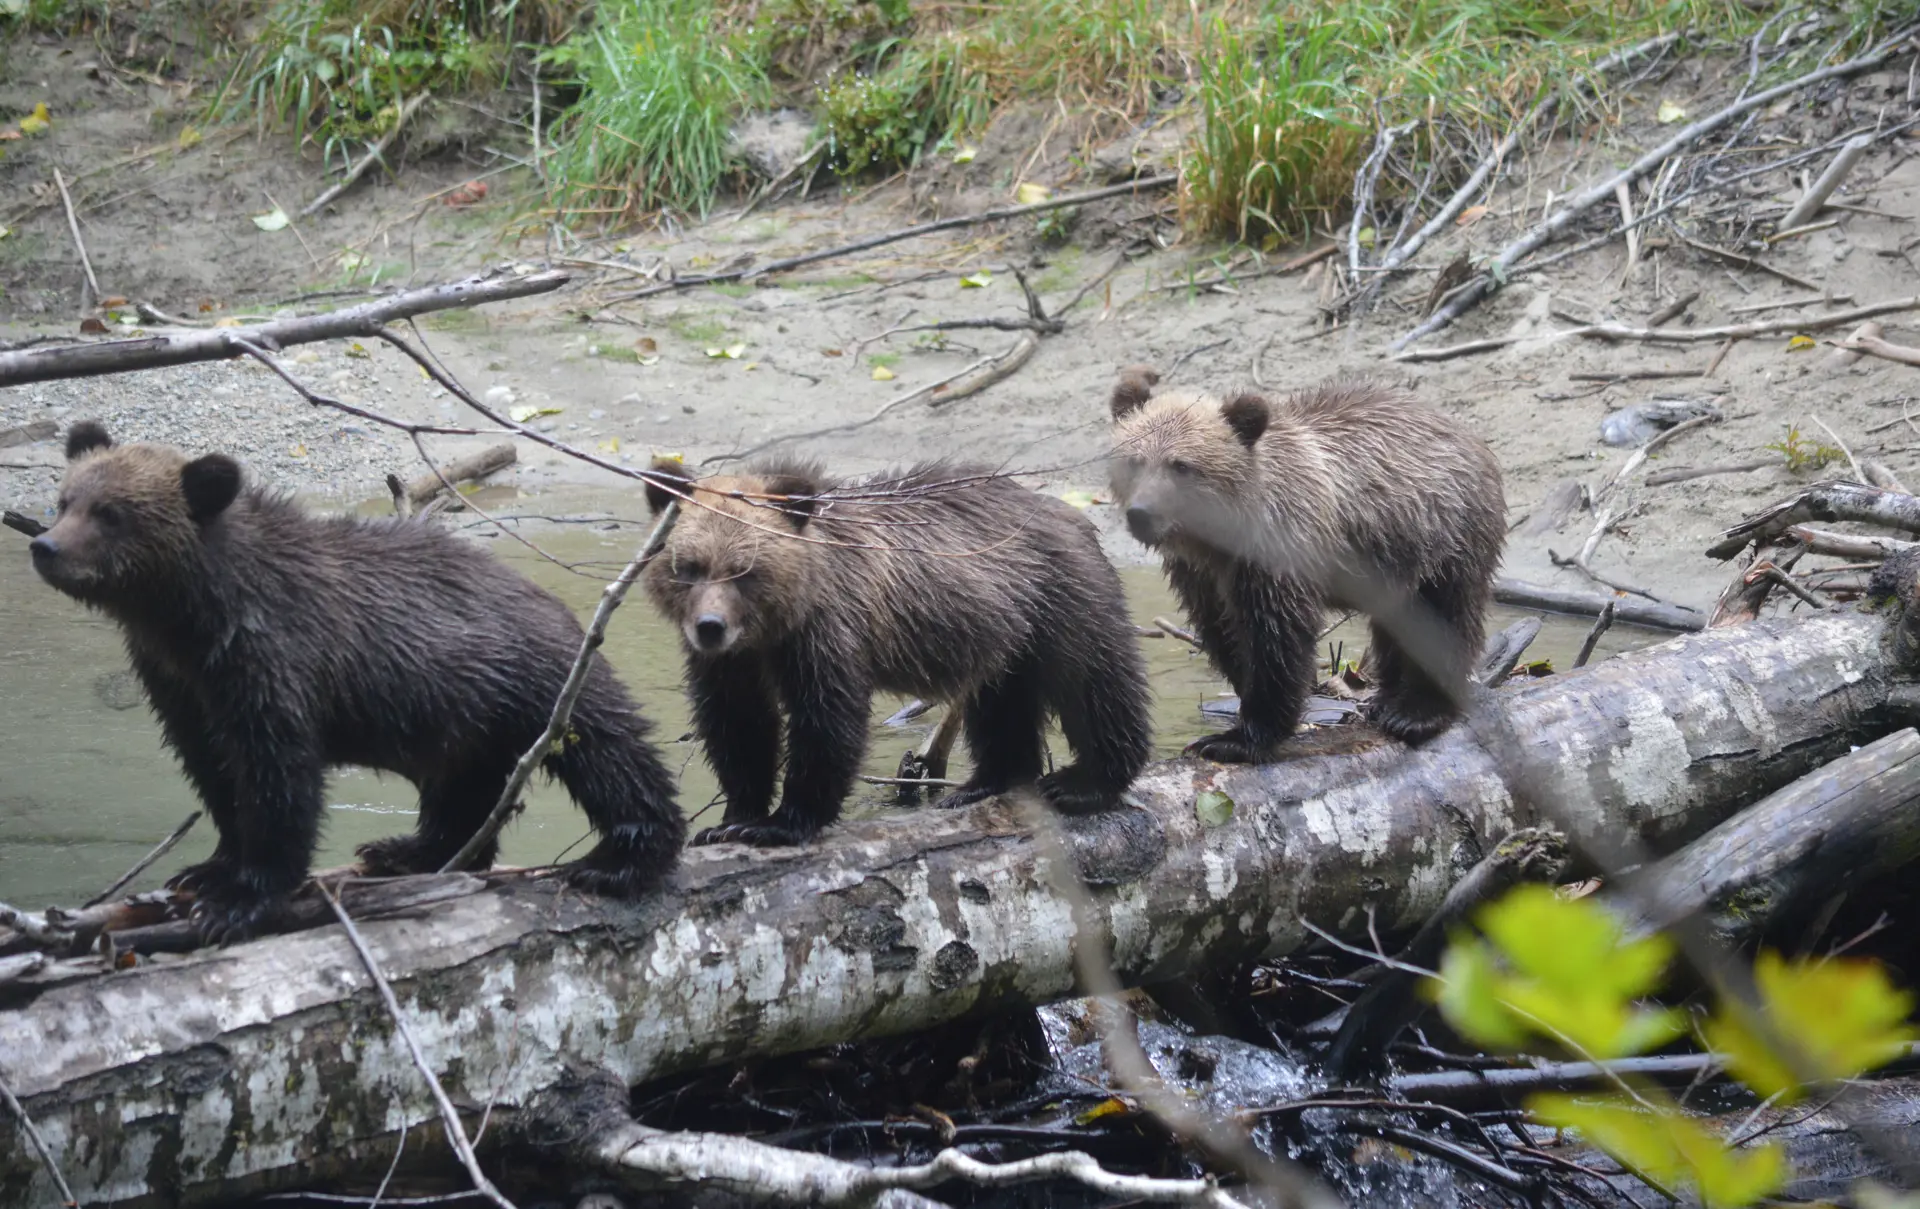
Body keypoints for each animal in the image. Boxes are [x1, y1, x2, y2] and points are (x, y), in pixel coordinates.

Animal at [29, 421, 684, 943]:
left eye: (111, 513)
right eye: (65, 499)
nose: (45, 546)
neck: (193, 614)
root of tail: (552, 599)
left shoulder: (274, 661)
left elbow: (278, 776)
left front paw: (238, 899)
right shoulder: (178, 682)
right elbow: (213, 769)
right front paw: (207, 869)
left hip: (538, 681)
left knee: (610, 754)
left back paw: (617, 860)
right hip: (465, 716)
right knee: (462, 790)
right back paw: (407, 850)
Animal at [641, 457, 1152, 847]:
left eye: (745, 570)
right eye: (689, 566)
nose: (710, 627)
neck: (771, 630)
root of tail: (1071, 515)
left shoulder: (827, 631)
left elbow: (826, 720)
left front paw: (781, 823)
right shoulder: (732, 665)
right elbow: (738, 725)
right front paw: (729, 820)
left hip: (1058, 599)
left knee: (1094, 684)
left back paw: (1082, 783)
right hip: (1005, 633)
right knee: (1002, 705)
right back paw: (982, 783)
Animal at [1107, 366, 1505, 759]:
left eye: (1181, 466)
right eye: (1134, 460)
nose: (1141, 513)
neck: (1220, 539)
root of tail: (1463, 430)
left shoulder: (1278, 551)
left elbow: (1277, 638)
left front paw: (1236, 738)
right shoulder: (1200, 575)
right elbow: (1224, 633)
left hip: (1445, 533)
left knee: (1445, 618)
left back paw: (1416, 712)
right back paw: (1386, 698)